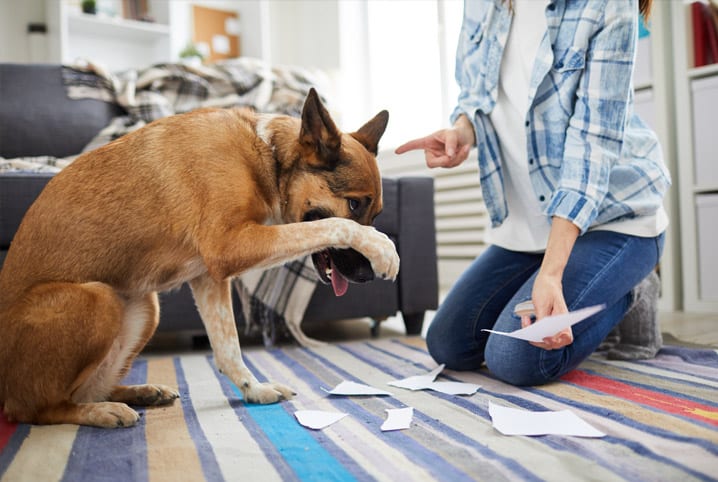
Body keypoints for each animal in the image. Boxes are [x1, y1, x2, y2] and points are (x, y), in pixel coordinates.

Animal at [0, 88, 400, 428]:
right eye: (355, 205)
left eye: (378, 212)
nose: (365, 276)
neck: (267, 155)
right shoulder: (230, 247)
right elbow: (331, 224)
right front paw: (383, 248)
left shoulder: (209, 277)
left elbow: (227, 347)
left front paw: (254, 391)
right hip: (97, 298)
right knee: (42, 408)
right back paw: (101, 412)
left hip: (146, 306)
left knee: (84, 390)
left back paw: (139, 393)